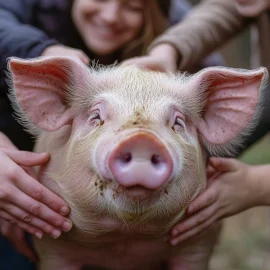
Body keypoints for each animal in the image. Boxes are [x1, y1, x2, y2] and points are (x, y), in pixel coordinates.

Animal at [6, 55, 268, 270]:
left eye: (178, 122)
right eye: (96, 117)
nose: (142, 139)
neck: (126, 235)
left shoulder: (199, 244)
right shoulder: (52, 247)